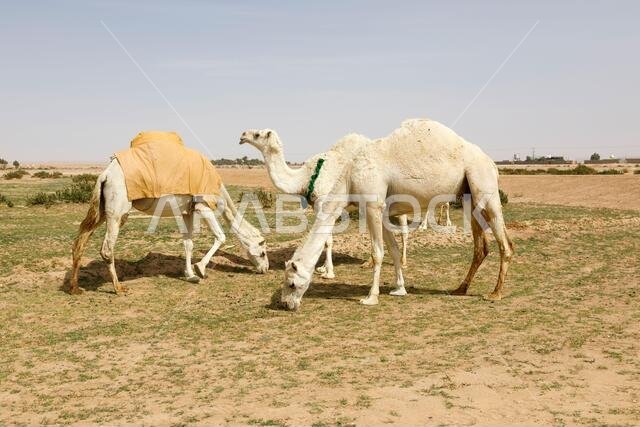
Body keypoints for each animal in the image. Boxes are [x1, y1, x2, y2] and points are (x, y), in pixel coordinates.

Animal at [69, 159, 269, 295]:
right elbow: (221, 237)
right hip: (118, 210)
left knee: (80, 240)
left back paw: (75, 288)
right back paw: (118, 288)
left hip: (101, 208)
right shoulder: (203, 206)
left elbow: (188, 244)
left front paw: (190, 274)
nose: (265, 269)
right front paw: (200, 269)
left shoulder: (188, 211)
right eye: (263, 252)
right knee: (106, 248)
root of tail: (105, 175)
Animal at [239, 130, 410, 278]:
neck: (304, 177)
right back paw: (368, 263)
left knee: (403, 230)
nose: (242, 136)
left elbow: (327, 240)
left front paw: (329, 272)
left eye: (257, 134)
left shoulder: (324, 202)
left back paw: (403, 261)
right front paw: (322, 268)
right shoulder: (318, 206)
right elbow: (326, 239)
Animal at [280, 118, 514, 310]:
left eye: (291, 283)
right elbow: (392, 250)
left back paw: (495, 293)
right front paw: (399, 289)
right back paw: (460, 289)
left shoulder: (372, 205)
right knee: (480, 247)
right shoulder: (381, 211)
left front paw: (371, 298)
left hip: (484, 184)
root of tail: (492, 163)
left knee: (506, 243)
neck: (349, 178)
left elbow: (377, 253)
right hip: (469, 196)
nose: (285, 304)